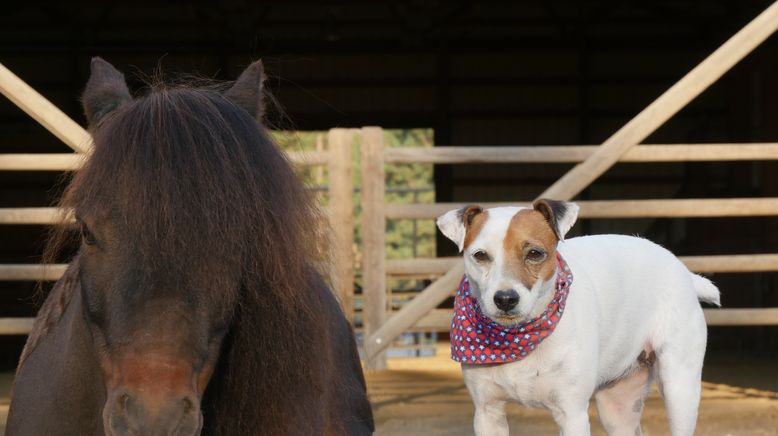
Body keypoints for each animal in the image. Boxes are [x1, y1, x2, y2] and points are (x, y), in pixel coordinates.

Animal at [436, 200, 720, 436]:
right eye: (480, 255)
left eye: (535, 253)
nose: (505, 299)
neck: (519, 336)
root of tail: (682, 269)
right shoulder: (487, 412)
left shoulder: (572, 413)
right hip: (617, 406)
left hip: (679, 389)